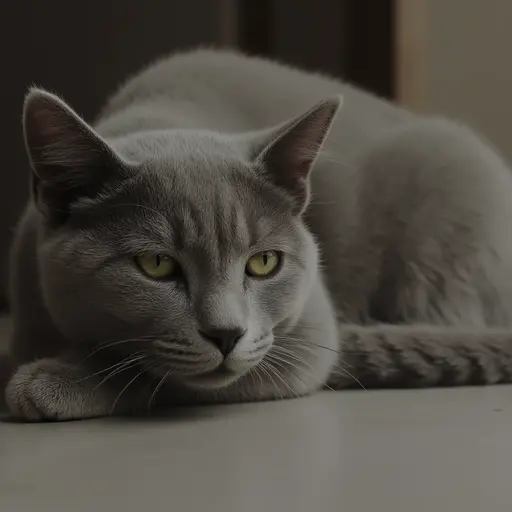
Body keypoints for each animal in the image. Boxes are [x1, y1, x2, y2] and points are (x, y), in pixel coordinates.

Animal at [3, 50, 512, 422]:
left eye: (264, 263)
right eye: (156, 265)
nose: (227, 333)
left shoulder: (307, 338)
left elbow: (153, 376)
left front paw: (49, 384)